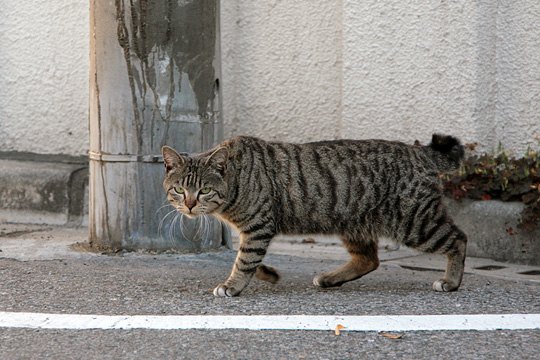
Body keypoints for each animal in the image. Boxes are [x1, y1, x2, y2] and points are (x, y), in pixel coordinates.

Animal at [162, 134, 466, 296]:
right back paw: (331, 278)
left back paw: (451, 281)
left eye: (204, 190)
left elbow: (244, 261)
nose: (190, 205)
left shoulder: (259, 227)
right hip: (354, 225)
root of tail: (418, 151)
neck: (237, 180)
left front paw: (232, 285)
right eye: (179, 189)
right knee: (369, 259)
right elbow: (246, 258)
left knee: (458, 239)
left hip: (415, 222)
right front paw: (267, 274)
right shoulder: (250, 232)